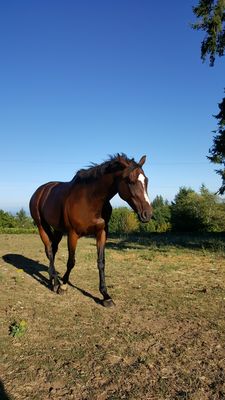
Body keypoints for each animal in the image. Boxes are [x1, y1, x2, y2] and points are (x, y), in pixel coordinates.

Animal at [29, 153, 152, 306]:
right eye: (130, 181)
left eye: (146, 180)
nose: (148, 214)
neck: (90, 199)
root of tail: (40, 191)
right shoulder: (73, 234)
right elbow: (71, 261)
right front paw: (64, 286)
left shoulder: (102, 233)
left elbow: (101, 263)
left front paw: (106, 296)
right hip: (42, 226)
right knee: (49, 251)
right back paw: (57, 283)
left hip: (58, 230)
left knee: (53, 249)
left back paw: (52, 279)